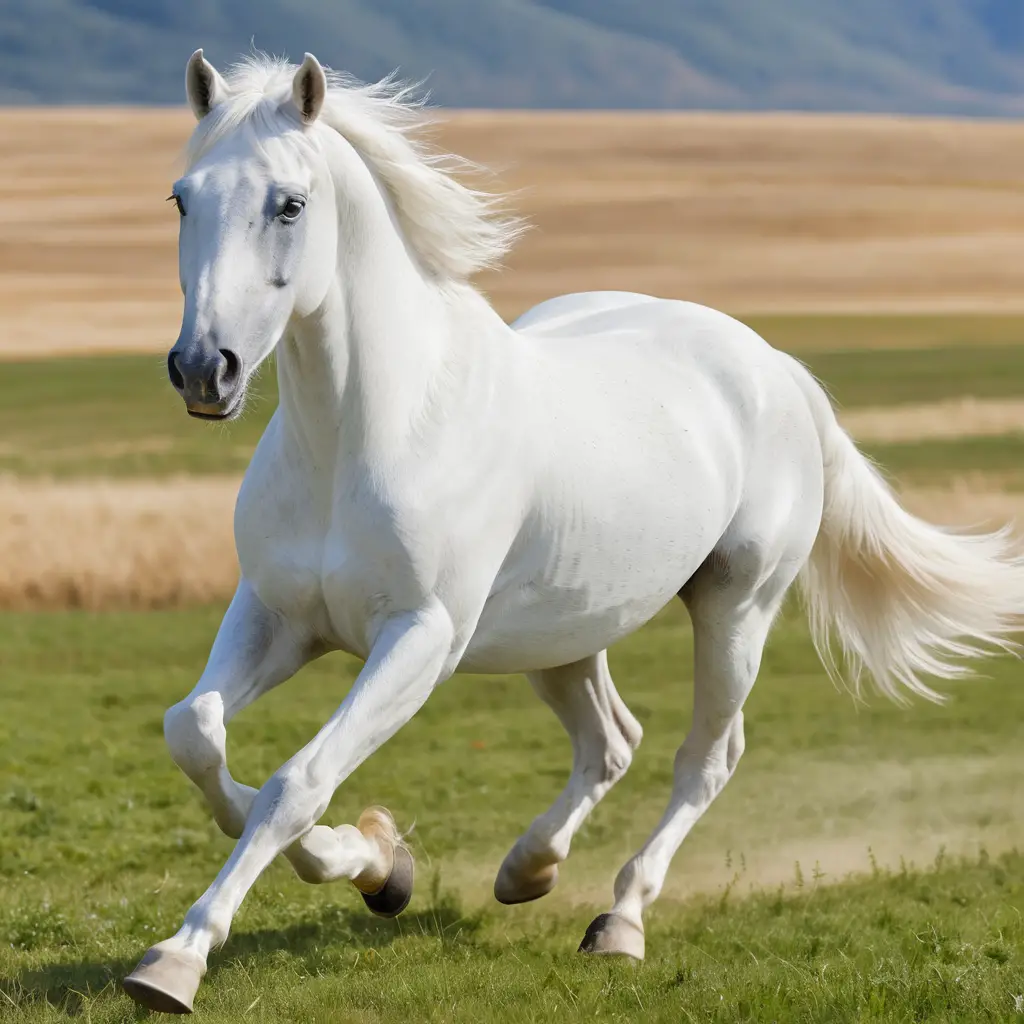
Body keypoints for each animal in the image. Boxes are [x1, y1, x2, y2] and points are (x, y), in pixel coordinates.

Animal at [122, 50, 1024, 1014]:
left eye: (289, 203)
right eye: (181, 198)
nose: (203, 370)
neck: (368, 431)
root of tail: (774, 366)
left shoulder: (419, 639)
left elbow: (296, 781)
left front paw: (177, 960)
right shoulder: (277, 616)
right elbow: (196, 735)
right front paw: (377, 866)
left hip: (736, 608)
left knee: (706, 757)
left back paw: (619, 923)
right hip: (560, 634)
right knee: (611, 740)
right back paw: (528, 869)